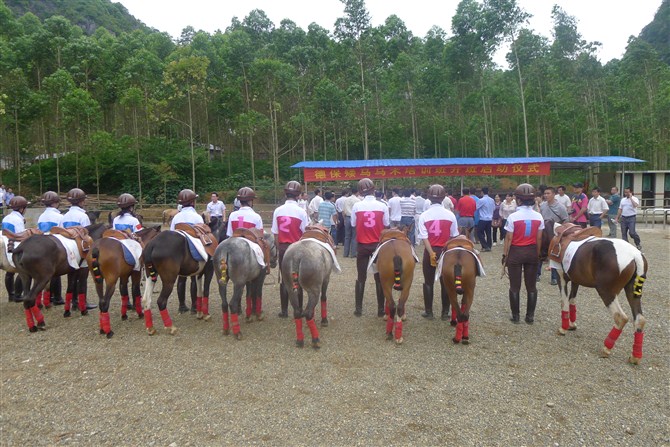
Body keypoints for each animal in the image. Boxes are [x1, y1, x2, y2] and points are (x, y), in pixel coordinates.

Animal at [544, 222, 652, 366]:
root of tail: (635, 255)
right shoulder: (575, 280)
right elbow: (572, 300)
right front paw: (572, 324)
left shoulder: (561, 277)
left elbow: (564, 302)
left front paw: (564, 327)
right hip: (632, 292)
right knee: (640, 319)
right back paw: (635, 357)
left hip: (606, 291)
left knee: (620, 317)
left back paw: (606, 348)